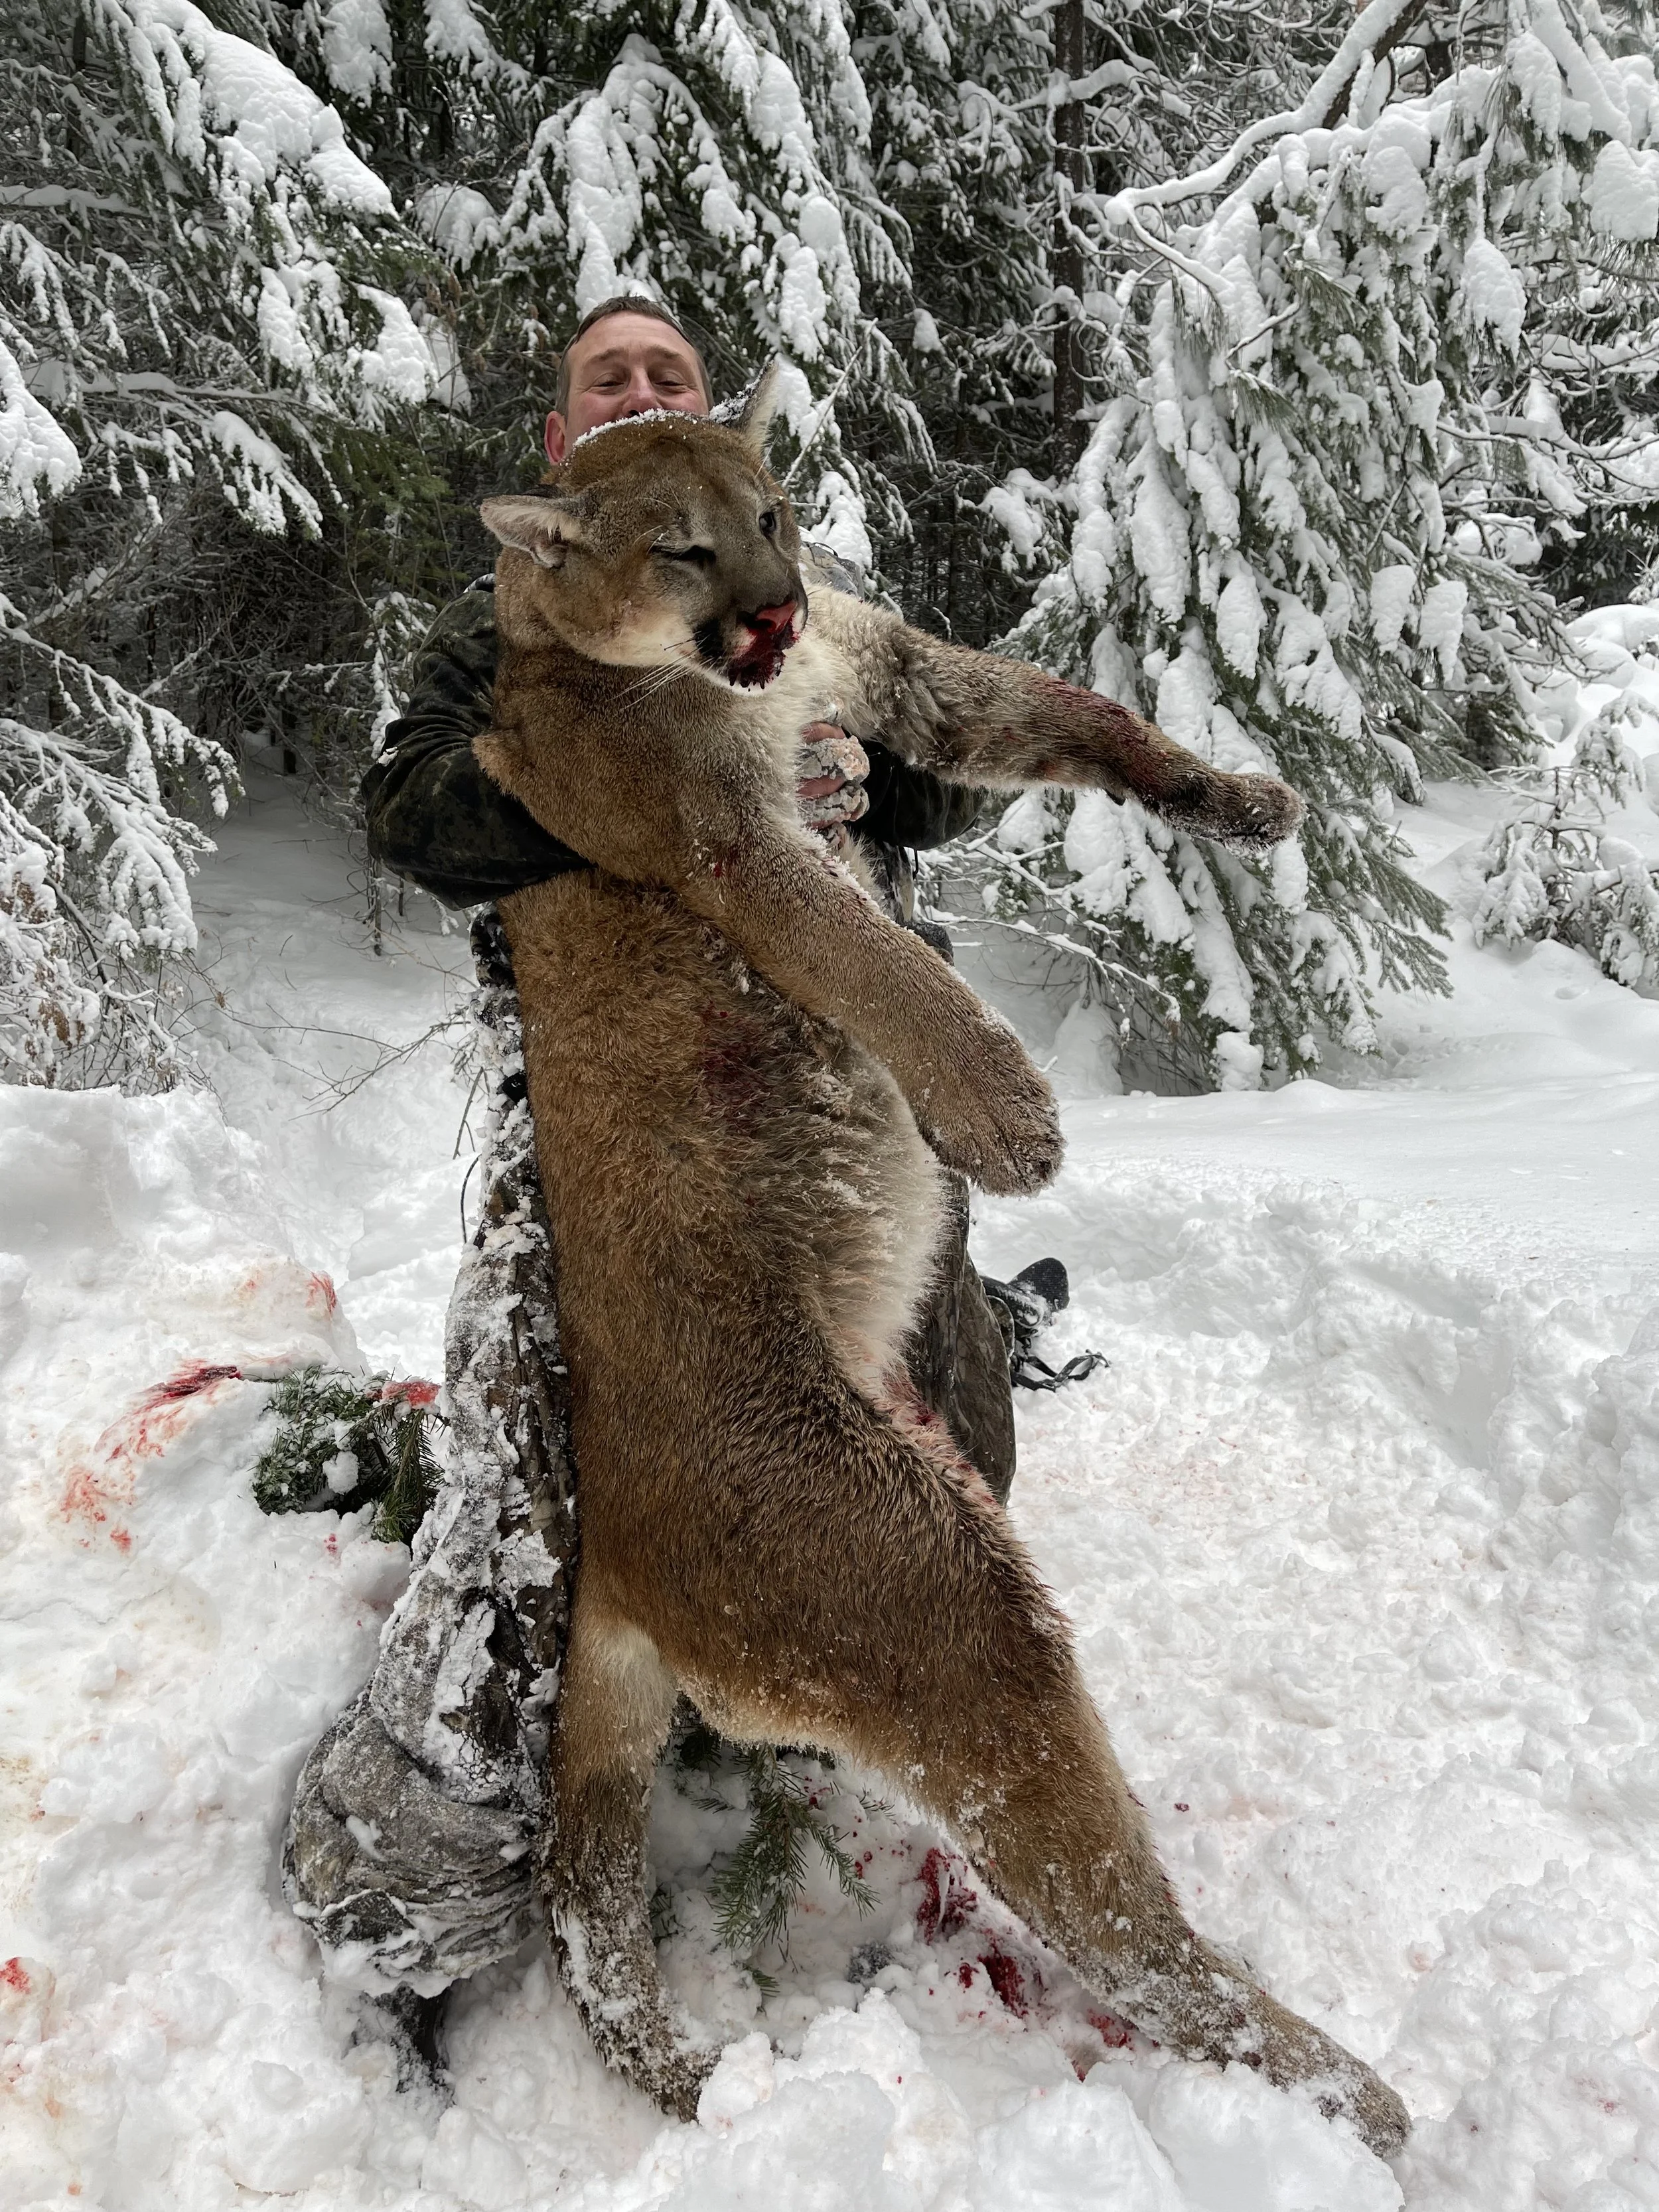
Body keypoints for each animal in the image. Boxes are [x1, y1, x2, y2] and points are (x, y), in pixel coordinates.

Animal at [470, 367, 1408, 2162]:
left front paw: (1237, 797)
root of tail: (609, 1551)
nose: (772, 608)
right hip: (923, 1588)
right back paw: (1342, 2091)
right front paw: (1005, 1113)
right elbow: (880, 962)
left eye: (773, 514)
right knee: (1107, 1900)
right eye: (680, 547)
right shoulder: (731, 837)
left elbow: (1071, 714)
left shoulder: (890, 675)